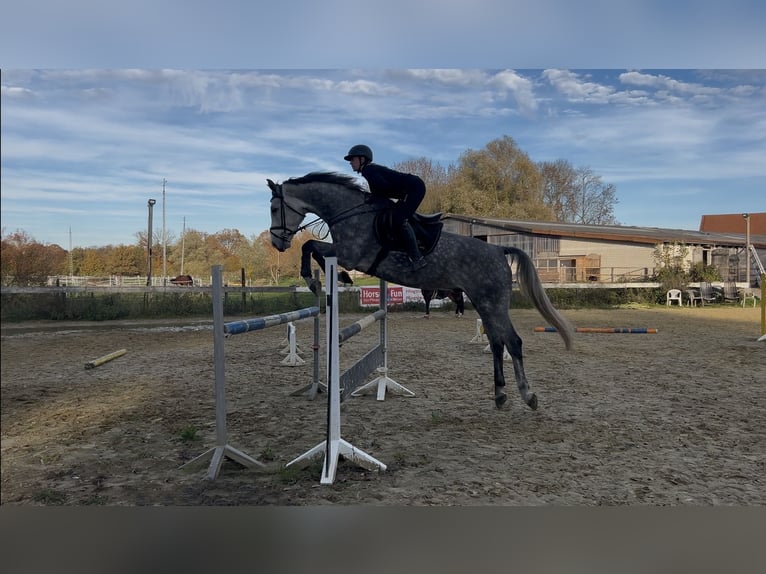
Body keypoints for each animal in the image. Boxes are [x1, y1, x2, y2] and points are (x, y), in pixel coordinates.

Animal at [268, 171, 574, 410]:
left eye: (273, 209)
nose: (277, 244)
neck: (348, 211)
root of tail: (500, 249)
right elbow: (311, 248)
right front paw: (325, 279)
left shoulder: (352, 255)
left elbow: (310, 246)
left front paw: (324, 279)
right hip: (483, 302)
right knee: (498, 343)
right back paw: (500, 396)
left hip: (493, 302)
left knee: (512, 342)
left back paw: (528, 396)